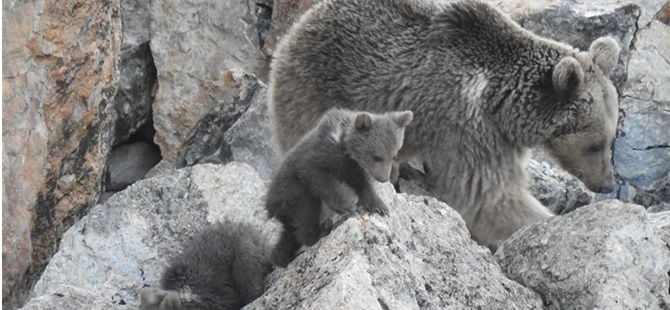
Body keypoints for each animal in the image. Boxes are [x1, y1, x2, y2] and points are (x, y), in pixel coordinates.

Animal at [266, 0, 620, 249]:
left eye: (611, 139)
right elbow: (489, 198)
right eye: (595, 143)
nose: (606, 183)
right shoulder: (470, 126)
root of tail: (300, 24)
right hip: (315, 89)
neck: (503, 105)